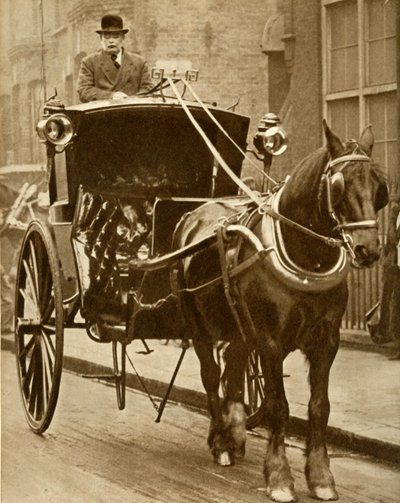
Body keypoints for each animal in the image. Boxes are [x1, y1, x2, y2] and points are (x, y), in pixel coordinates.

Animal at [171, 123, 388, 503]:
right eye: (339, 184)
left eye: (379, 186)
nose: (368, 249)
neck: (307, 257)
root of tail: (191, 215)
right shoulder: (270, 341)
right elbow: (278, 406)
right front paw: (280, 477)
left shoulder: (326, 341)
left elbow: (319, 407)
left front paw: (321, 477)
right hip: (198, 325)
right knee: (211, 376)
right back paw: (220, 442)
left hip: (240, 327)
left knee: (233, 368)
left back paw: (234, 432)